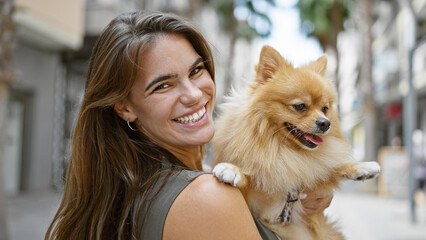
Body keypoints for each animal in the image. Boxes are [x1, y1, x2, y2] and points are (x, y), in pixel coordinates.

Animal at [211, 45, 382, 240]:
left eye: (325, 109)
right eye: (300, 106)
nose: (325, 123)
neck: (284, 150)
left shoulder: (310, 174)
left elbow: (332, 167)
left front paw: (363, 167)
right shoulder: (260, 206)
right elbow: (249, 181)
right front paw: (232, 169)